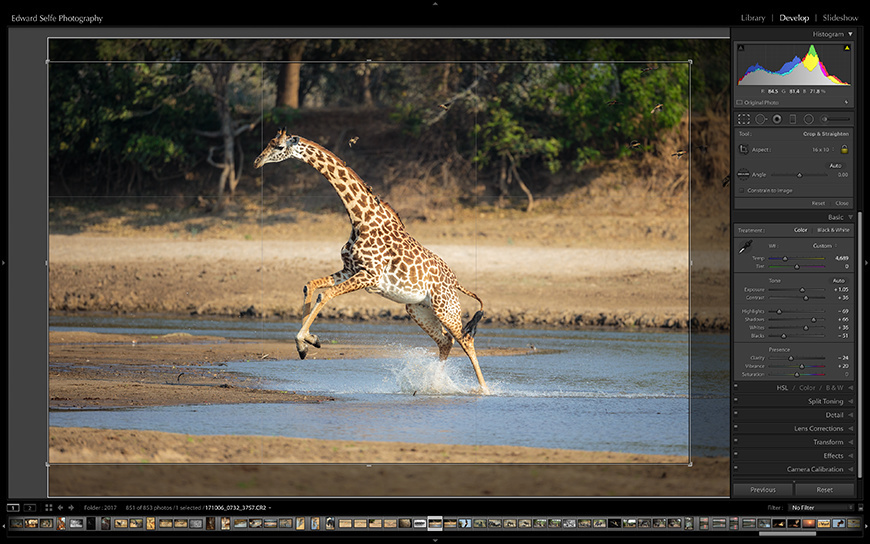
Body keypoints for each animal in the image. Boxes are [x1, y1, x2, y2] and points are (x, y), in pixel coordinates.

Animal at [254, 128, 490, 394]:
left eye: (279, 147)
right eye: (269, 142)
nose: (257, 161)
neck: (360, 218)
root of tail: (457, 282)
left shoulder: (370, 275)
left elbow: (325, 295)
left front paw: (305, 342)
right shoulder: (350, 269)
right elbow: (310, 285)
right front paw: (307, 343)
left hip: (445, 307)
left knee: (465, 340)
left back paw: (484, 389)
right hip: (418, 309)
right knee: (446, 341)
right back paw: (433, 385)